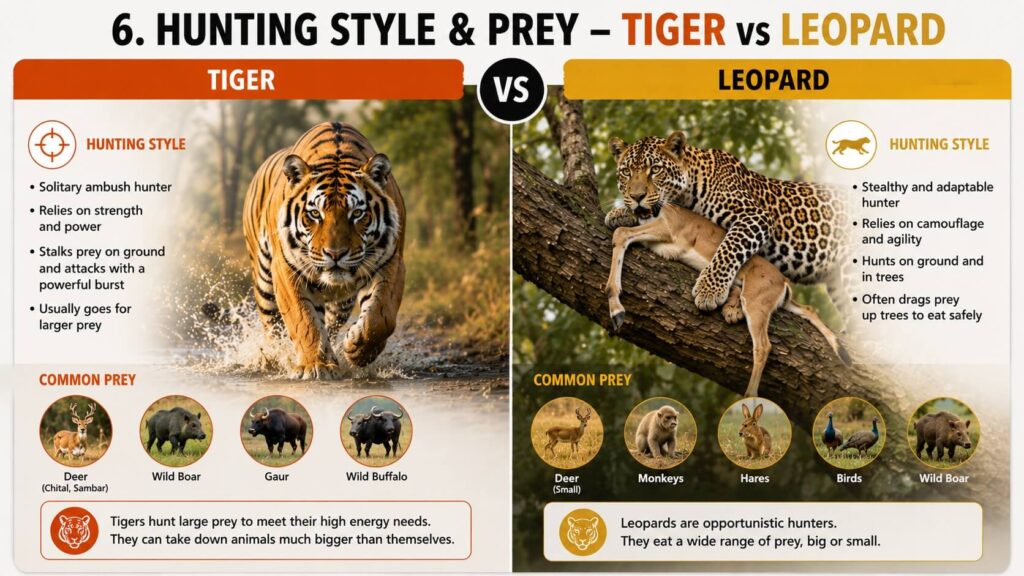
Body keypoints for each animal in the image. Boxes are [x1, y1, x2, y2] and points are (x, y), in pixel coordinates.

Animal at [243, 122, 405, 380]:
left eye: (357, 213)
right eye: (314, 214)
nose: (335, 254)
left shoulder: (392, 262)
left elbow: (381, 317)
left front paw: (358, 349)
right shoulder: (287, 270)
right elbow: (304, 320)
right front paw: (315, 366)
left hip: (343, 302)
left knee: (331, 323)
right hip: (265, 283)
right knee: (273, 328)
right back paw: (273, 360)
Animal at [603, 130, 853, 321]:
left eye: (655, 169)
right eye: (626, 172)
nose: (637, 196)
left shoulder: (755, 216)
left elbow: (729, 248)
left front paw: (709, 290)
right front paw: (618, 213)